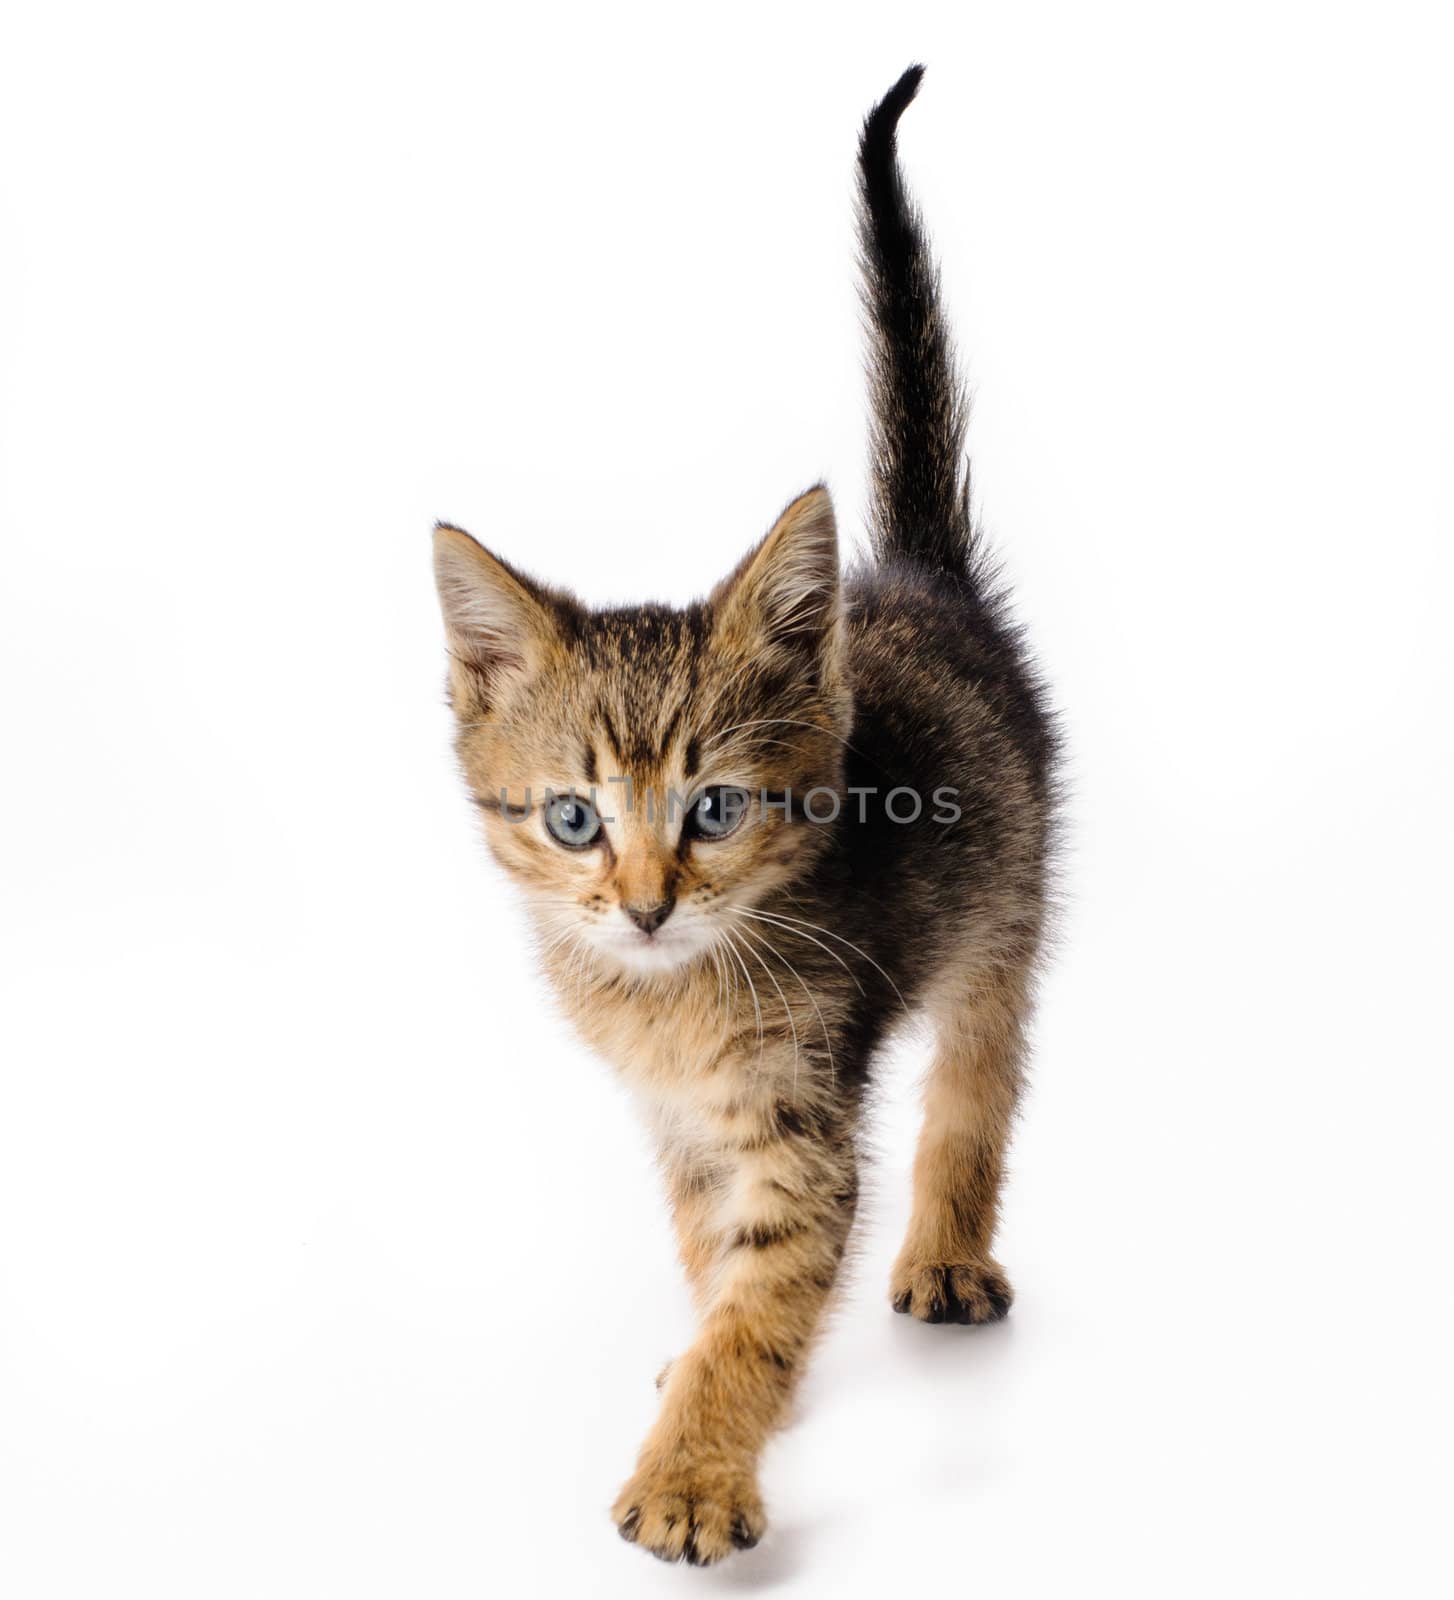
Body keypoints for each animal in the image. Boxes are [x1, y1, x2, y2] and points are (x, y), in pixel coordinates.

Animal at [431, 68, 1055, 1568]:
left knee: (978, 1080)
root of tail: (916, 577)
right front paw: (710, 1374)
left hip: (1008, 909)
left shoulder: (798, 1113)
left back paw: (945, 1253)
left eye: (712, 808)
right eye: (574, 821)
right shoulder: (679, 1120)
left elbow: (767, 1289)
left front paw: (696, 1473)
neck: (671, 997)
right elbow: (718, 1257)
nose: (647, 902)